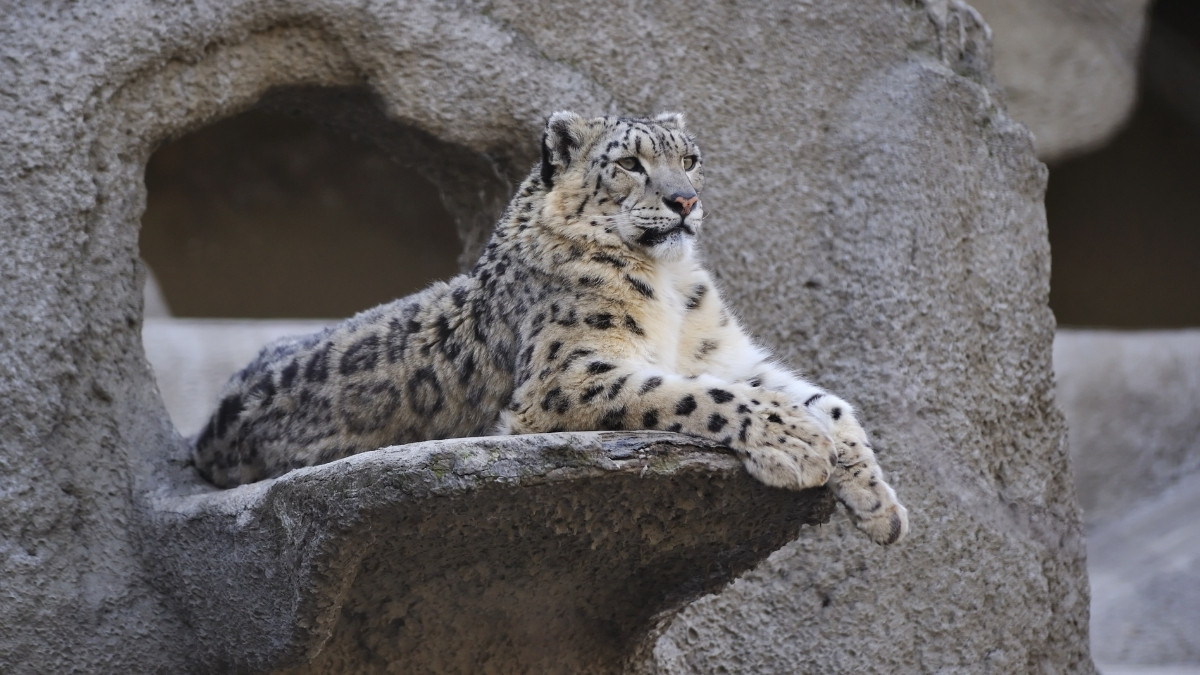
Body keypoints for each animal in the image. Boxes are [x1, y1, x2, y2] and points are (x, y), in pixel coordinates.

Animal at [192, 111, 909, 545]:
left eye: (691, 159)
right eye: (630, 164)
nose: (685, 200)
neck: (674, 290)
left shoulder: (726, 355)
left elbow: (827, 400)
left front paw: (879, 504)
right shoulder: (570, 373)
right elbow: (696, 395)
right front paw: (796, 444)